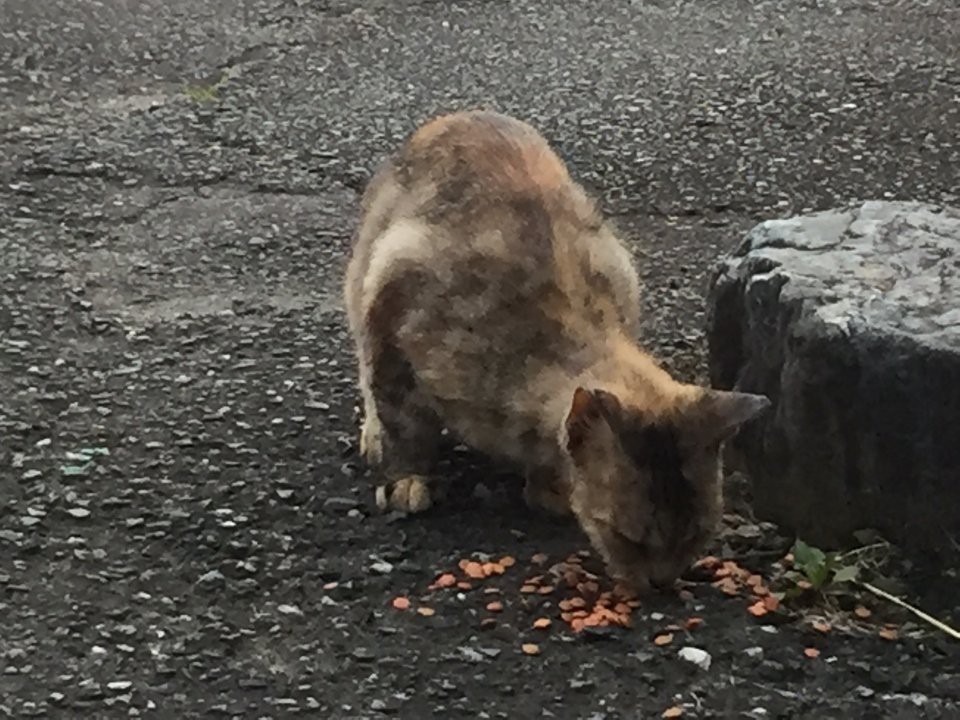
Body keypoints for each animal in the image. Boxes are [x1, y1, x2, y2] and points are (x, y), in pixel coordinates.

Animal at [342, 109, 768, 592]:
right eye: (628, 538)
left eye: (696, 538)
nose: (661, 584)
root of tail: (463, 114)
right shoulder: (393, 302)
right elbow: (402, 417)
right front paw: (407, 475)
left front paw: (547, 487)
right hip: (365, 272)